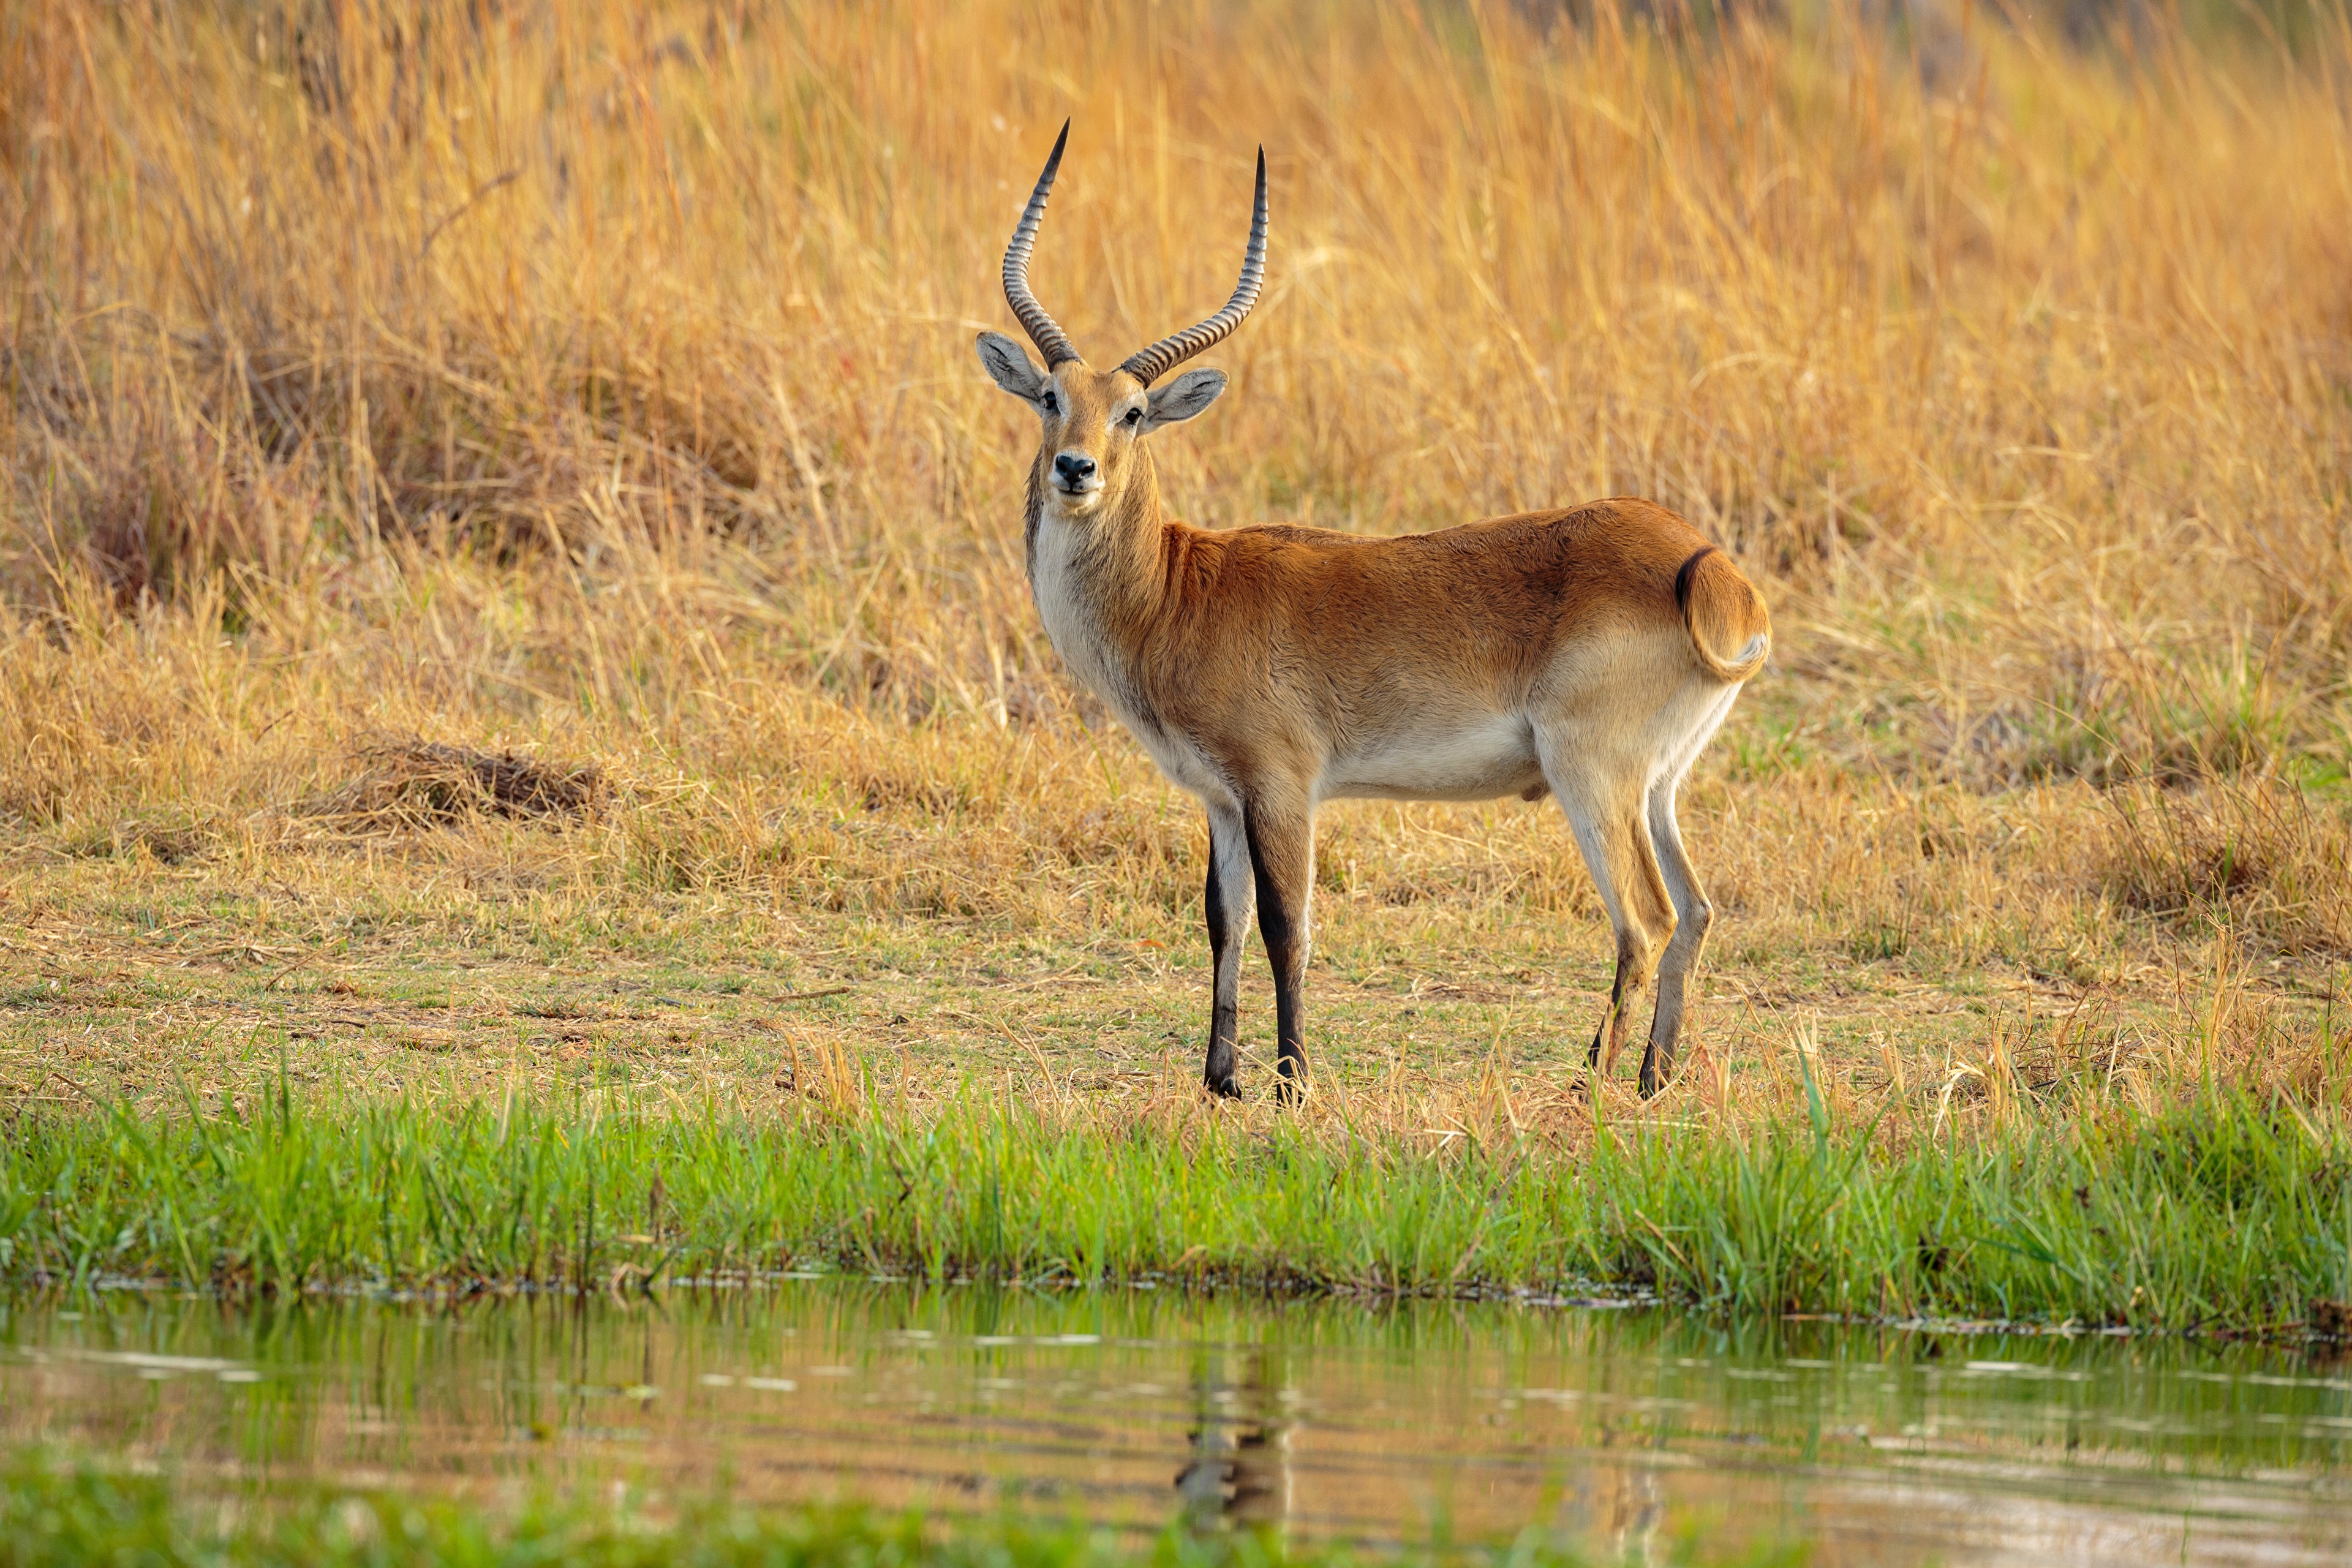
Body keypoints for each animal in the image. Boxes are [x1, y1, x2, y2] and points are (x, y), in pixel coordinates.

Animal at [975, 125, 1770, 1102]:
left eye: (1131, 412)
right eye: (1053, 398)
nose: (1076, 468)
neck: (1176, 590)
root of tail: (1713, 569)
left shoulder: (1282, 786)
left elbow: (1288, 926)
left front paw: (1292, 1083)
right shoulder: (1221, 798)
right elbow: (1222, 920)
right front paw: (1221, 1080)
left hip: (1593, 775)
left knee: (1647, 918)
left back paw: (1589, 1084)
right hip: (1658, 785)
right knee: (1696, 909)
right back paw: (1654, 1078)